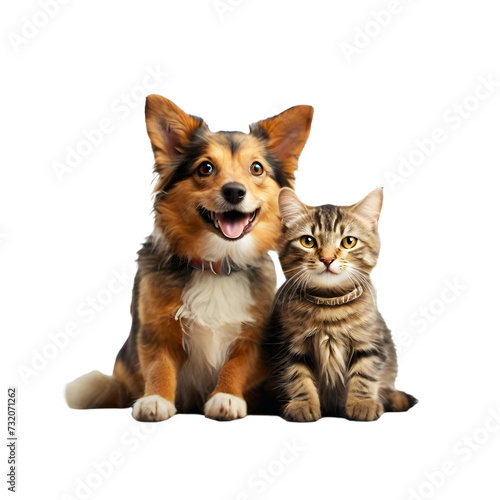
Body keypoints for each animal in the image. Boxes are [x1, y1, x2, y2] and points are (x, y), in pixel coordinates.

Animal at [64, 94, 310, 422]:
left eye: (256, 168)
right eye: (205, 168)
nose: (234, 191)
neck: (217, 264)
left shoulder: (252, 338)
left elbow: (235, 366)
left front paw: (227, 397)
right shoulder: (156, 330)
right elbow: (159, 366)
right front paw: (155, 400)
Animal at [264, 188, 416, 422]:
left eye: (349, 242)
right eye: (308, 241)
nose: (327, 259)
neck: (329, 305)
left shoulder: (369, 342)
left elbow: (365, 374)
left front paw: (362, 404)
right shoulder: (289, 346)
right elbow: (297, 377)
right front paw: (303, 404)